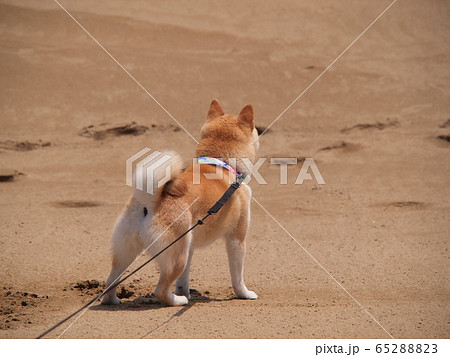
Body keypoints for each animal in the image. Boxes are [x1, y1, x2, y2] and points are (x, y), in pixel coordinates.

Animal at [100, 99, 258, 306]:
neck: (220, 163)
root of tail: (150, 202)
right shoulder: (236, 239)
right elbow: (237, 276)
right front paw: (244, 294)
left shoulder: (190, 247)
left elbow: (183, 280)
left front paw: (185, 291)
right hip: (176, 256)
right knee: (161, 290)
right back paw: (178, 301)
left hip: (129, 251)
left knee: (110, 281)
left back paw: (113, 300)